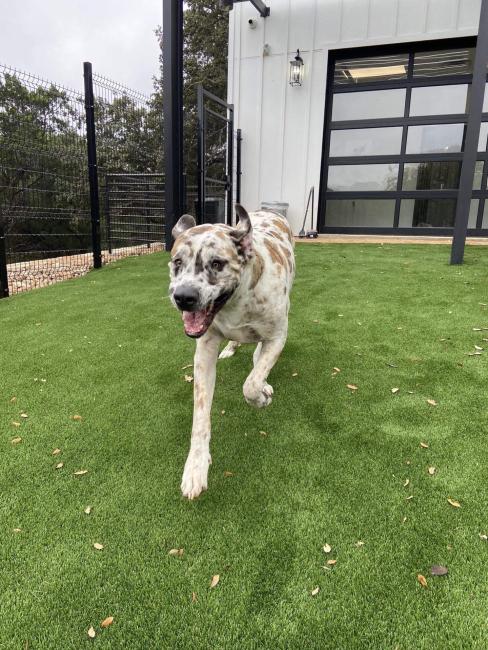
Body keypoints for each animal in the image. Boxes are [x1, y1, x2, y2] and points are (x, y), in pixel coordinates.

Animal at [170, 202, 296, 496]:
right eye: (177, 263)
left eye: (217, 263)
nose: (183, 297)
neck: (236, 302)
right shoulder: (204, 350)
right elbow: (200, 415)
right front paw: (196, 467)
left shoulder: (278, 336)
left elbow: (251, 382)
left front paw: (261, 396)